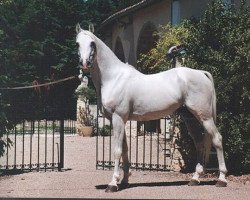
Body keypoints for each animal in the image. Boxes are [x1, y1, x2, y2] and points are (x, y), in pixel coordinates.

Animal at [75, 25, 228, 192]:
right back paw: (195, 178)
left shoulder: (118, 118)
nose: (84, 63)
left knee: (217, 139)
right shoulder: (121, 120)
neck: (114, 78)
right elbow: (125, 150)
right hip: (190, 118)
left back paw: (222, 179)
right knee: (200, 143)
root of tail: (201, 73)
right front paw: (124, 181)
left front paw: (113, 184)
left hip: (204, 116)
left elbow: (117, 151)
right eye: (77, 43)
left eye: (92, 43)